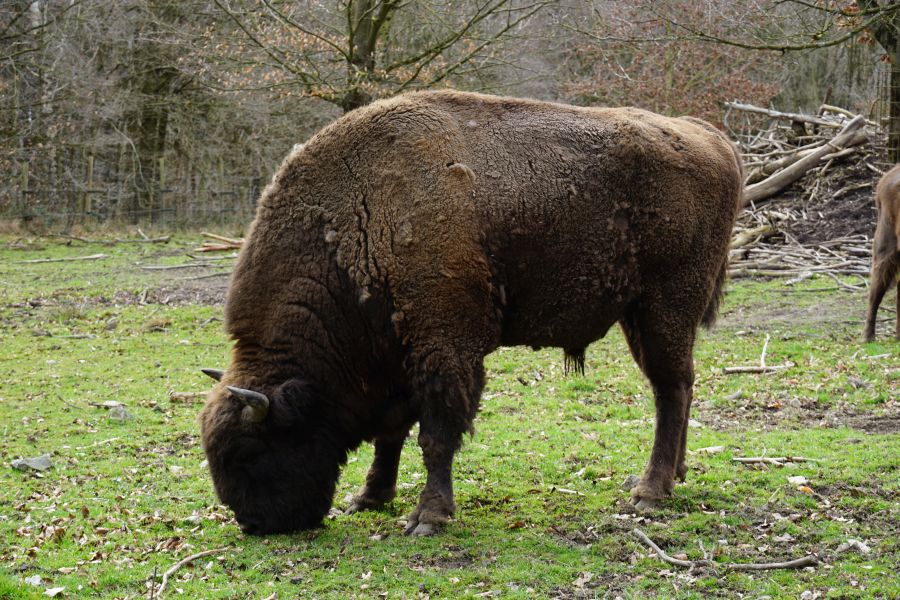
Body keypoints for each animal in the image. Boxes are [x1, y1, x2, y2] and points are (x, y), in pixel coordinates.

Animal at [199, 90, 743, 536]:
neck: (359, 215)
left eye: (252, 451)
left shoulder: (444, 348)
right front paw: (369, 498)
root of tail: (713, 138)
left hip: (665, 307)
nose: (254, 524)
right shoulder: (399, 354)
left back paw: (649, 492)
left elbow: (436, 435)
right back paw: (675, 475)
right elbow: (391, 434)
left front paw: (427, 517)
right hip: (640, 315)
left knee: (671, 389)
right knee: (679, 386)